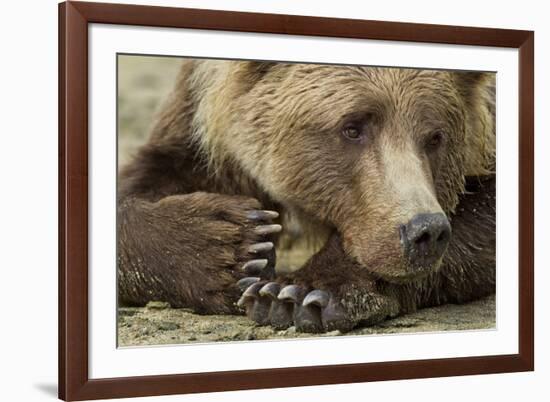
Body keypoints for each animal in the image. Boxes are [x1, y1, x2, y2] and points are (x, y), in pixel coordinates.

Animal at [118, 59, 498, 334]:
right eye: (352, 127)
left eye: (435, 137)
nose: (425, 231)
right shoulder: (197, 120)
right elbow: (148, 178)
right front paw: (233, 244)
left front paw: (299, 294)